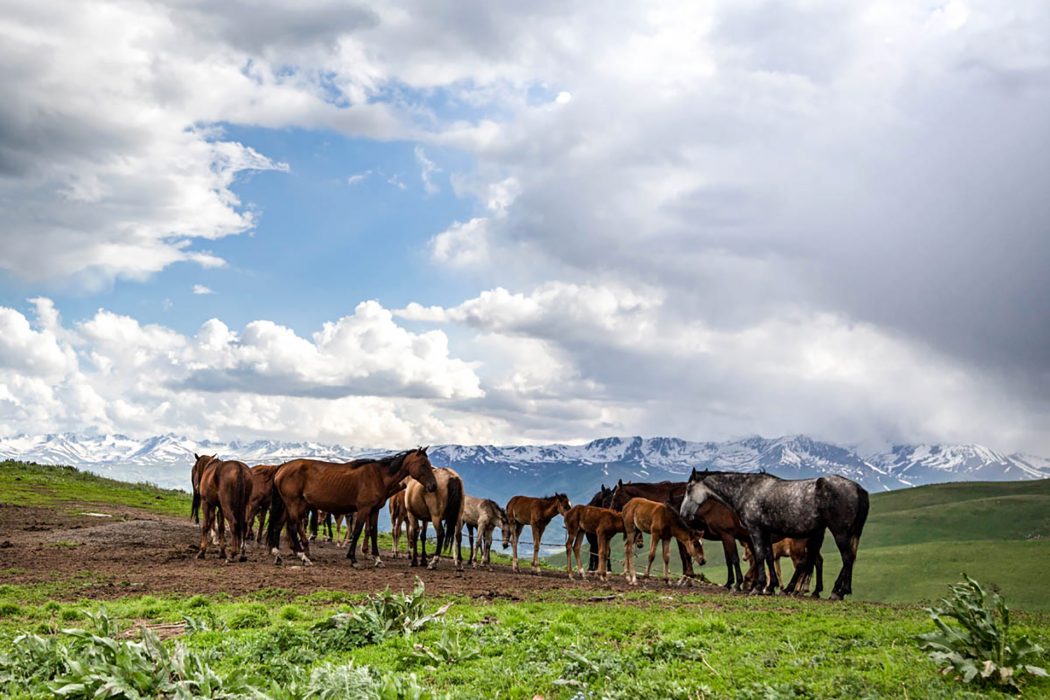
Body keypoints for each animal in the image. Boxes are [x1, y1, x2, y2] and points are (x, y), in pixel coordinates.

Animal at [270, 449, 438, 570]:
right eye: (423, 464)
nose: (433, 486)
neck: (378, 476)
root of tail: (282, 468)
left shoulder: (374, 510)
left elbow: (373, 532)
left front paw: (377, 559)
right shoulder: (363, 510)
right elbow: (357, 532)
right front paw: (353, 558)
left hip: (287, 506)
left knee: (277, 527)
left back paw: (277, 555)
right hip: (293, 504)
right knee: (292, 527)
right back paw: (303, 557)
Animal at [680, 468, 869, 600]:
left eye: (689, 489)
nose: (682, 514)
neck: (746, 490)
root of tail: (858, 488)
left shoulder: (755, 530)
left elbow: (759, 556)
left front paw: (758, 587)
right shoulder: (766, 533)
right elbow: (769, 558)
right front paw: (770, 588)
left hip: (840, 533)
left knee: (846, 558)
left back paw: (837, 592)